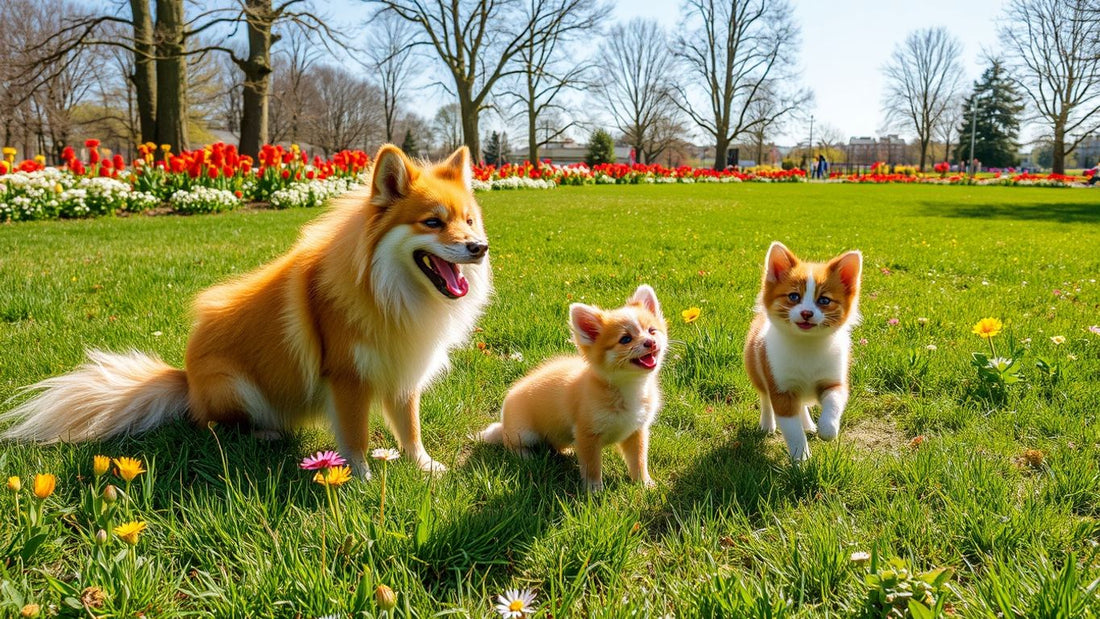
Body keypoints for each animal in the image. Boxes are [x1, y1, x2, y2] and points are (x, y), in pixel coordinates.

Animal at [0, 145, 490, 479]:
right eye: (432, 222)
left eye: (468, 221)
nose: (479, 247)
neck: (391, 291)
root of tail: (185, 380)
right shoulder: (347, 378)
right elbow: (355, 437)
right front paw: (360, 477)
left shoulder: (404, 372)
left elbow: (410, 429)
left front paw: (425, 467)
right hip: (234, 387)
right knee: (212, 427)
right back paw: (266, 434)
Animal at [479, 285, 664, 494]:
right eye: (625, 339)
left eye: (652, 331)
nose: (650, 342)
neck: (629, 386)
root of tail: (504, 423)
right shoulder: (587, 436)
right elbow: (592, 467)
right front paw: (594, 491)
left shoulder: (636, 431)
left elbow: (638, 461)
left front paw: (644, 484)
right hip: (523, 433)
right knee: (510, 444)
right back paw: (526, 456)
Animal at [743, 241, 862, 459]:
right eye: (793, 296)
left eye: (824, 300)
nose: (807, 313)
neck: (807, 344)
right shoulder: (781, 389)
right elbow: (793, 430)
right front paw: (801, 458)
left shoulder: (833, 380)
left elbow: (834, 402)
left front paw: (827, 430)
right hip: (756, 369)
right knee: (765, 398)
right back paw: (767, 424)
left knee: (802, 406)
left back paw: (809, 425)